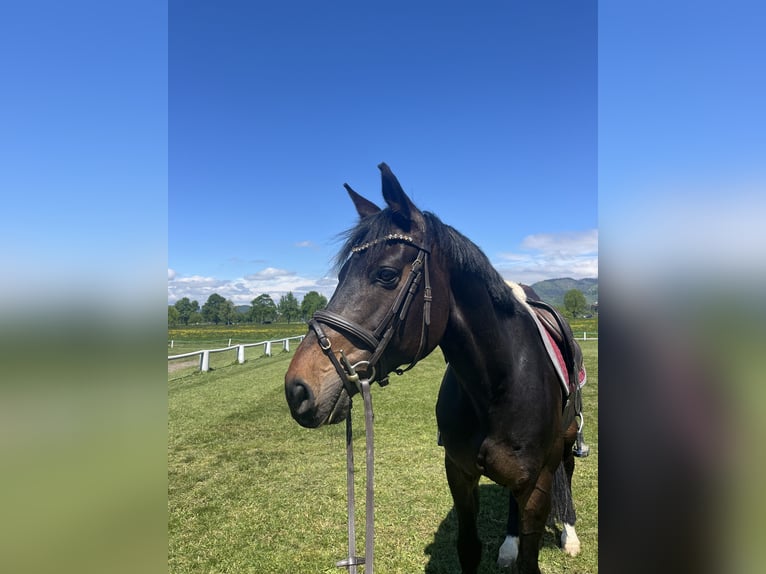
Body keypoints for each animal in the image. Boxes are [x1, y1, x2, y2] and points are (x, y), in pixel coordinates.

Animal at [285, 163, 586, 573]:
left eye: (385, 274)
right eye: (341, 275)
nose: (297, 388)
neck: (497, 384)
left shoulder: (537, 482)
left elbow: (530, 558)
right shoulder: (459, 473)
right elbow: (469, 547)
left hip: (566, 441)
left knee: (566, 473)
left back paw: (569, 534)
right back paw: (507, 544)